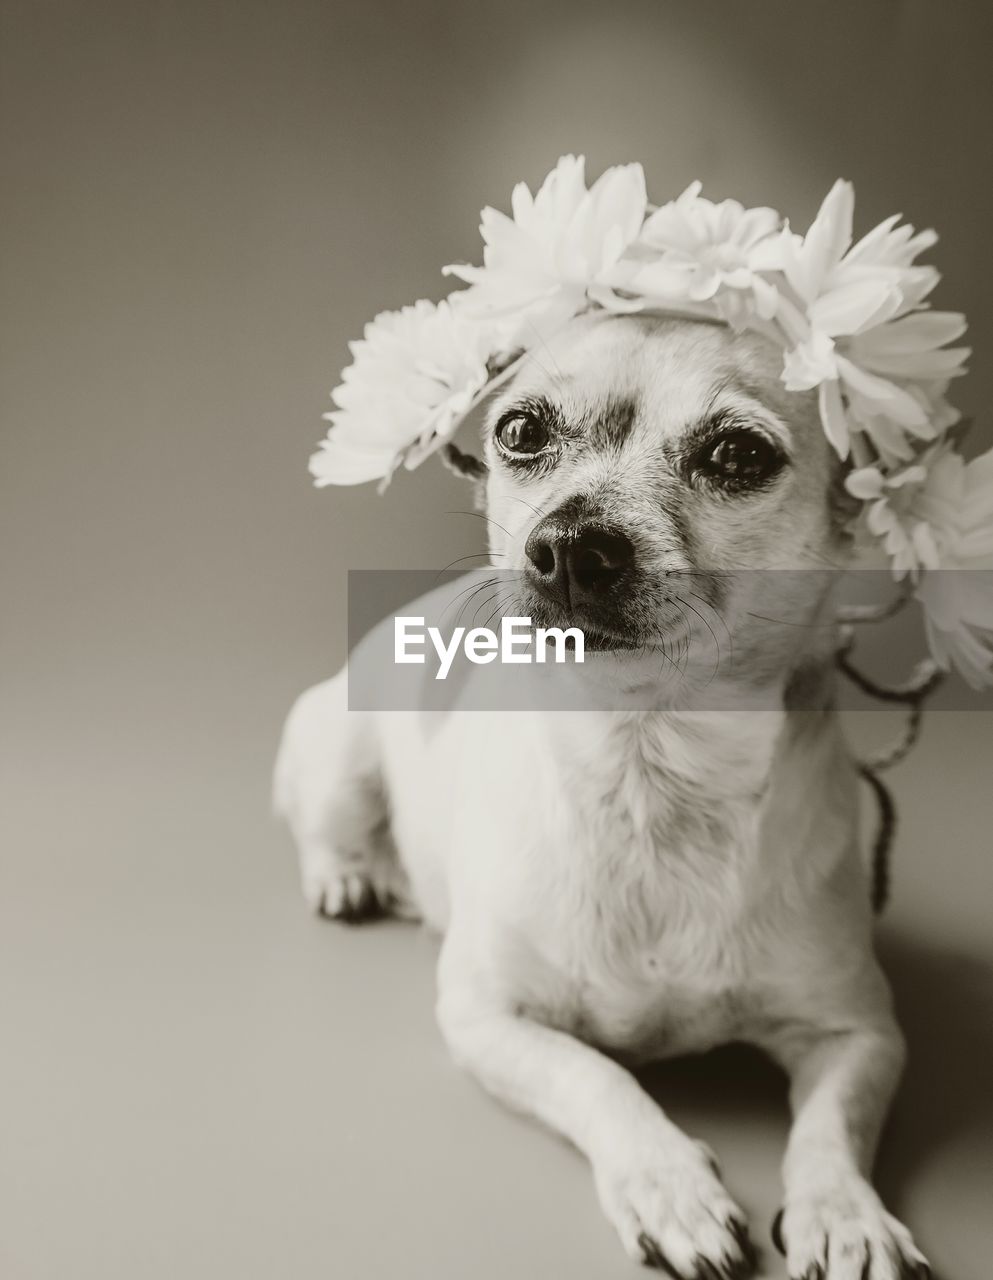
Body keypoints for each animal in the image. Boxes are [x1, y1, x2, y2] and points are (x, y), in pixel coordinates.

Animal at [273, 312, 931, 1280]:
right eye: (520, 431)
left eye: (738, 454)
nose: (569, 545)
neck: (646, 767)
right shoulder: (486, 1017)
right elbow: (599, 1077)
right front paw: (668, 1184)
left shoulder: (859, 1034)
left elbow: (831, 1131)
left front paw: (844, 1214)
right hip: (337, 754)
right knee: (326, 825)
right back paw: (348, 876)